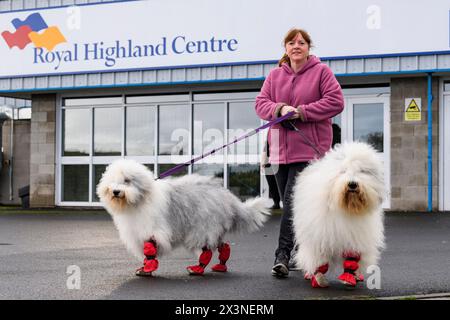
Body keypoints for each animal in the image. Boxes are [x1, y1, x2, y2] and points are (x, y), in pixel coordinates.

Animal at [96, 159, 268, 276]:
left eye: (127, 180)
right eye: (113, 181)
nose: (116, 191)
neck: (140, 199)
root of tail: (228, 197)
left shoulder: (153, 229)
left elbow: (149, 248)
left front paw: (147, 268)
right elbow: (148, 250)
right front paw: (145, 267)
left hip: (203, 227)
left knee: (207, 250)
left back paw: (197, 269)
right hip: (213, 227)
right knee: (222, 245)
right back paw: (221, 266)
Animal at [294, 142, 384, 288]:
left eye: (361, 171)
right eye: (343, 171)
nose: (352, 184)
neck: (347, 209)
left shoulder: (354, 237)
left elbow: (352, 260)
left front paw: (348, 278)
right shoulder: (321, 236)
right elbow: (320, 262)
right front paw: (319, 280)